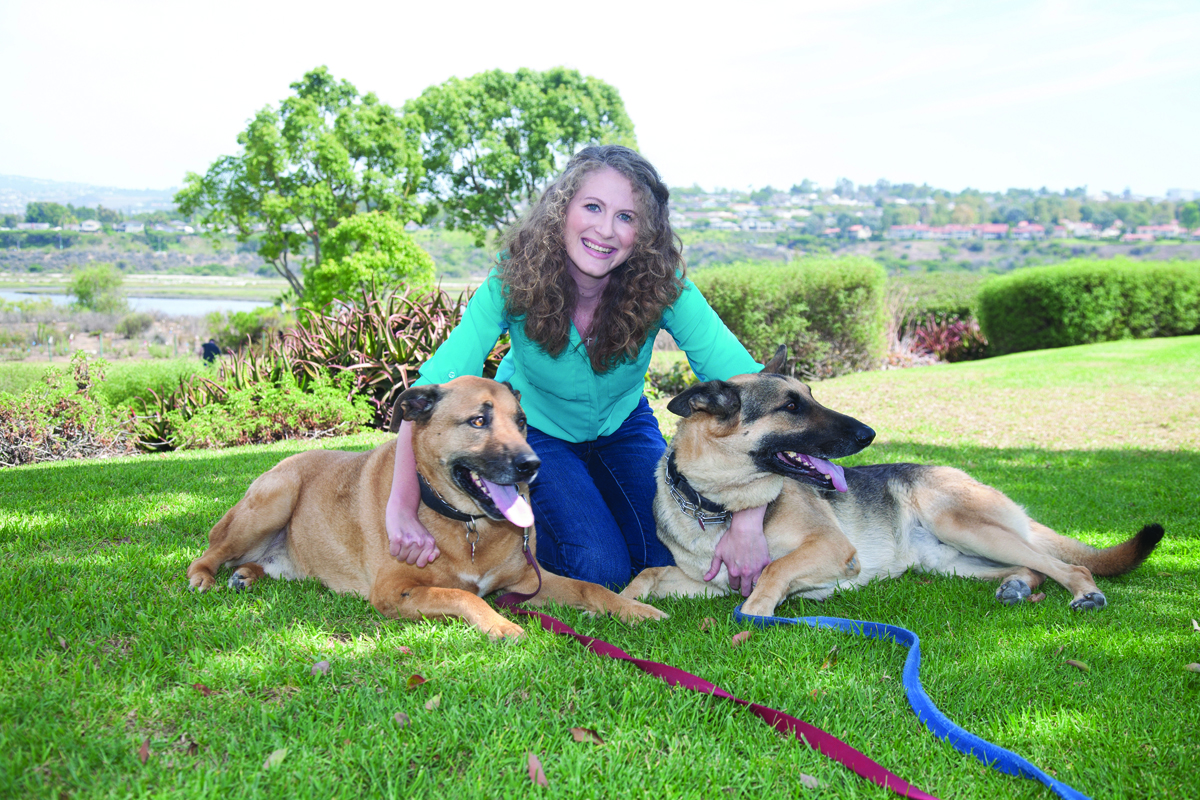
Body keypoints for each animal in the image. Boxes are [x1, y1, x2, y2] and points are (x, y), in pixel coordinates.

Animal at [187, 375, 666, 639]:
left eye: (522, 422)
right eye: (478, 421)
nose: (531, 466)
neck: (468, 526)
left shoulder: (530, 580)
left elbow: (592, 587)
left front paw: (633, 608)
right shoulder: (392, 592)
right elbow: (459, 593)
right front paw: (500, 625)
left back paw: (248, 574)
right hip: (275, 496)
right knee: (210, 553)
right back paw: (205, 577)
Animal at [622, 346, 1164, 617]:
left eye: (811, 394)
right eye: (792, 406)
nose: (869, 433)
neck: (718, 505)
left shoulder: (831, 548)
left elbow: (775, 570)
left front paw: (758, 609)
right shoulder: (702, 582)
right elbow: (647, 574)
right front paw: (621, 602)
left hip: (963, 525)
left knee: (1063, 564)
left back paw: (1083, 591)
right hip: (951, 561)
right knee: (1031, 568)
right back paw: (1015, 587)